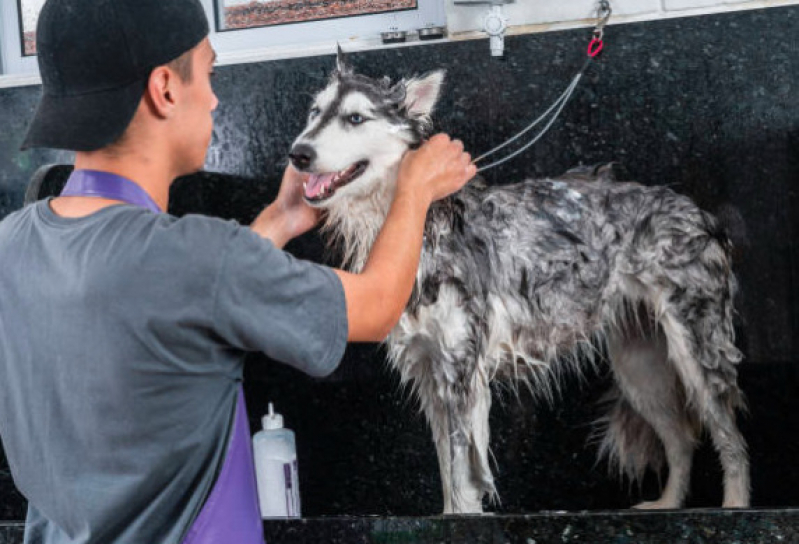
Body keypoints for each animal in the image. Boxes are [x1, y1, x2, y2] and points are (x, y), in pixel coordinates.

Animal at [288, 50, 752, 516]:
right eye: (314, 113)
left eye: (354, 118)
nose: (298, 154)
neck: (419, 222)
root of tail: (698, 212)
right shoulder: (429, 373)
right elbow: (448, 474)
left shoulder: (460, 370)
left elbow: (463, 475)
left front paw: (463, 518)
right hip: (641, 367)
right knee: (681, 440)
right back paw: (668, 504)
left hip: (697, 351)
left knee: (730, 438)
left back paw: (735, 505)